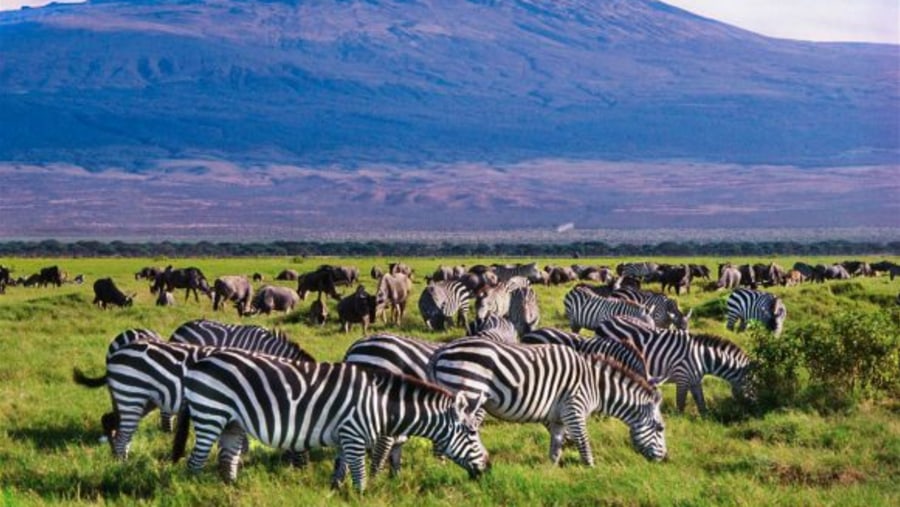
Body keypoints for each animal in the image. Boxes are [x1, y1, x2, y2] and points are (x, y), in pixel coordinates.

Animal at [171, 352, 488, 490]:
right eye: (472, 433)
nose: (488, 467)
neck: (380, 403)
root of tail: (200, 361)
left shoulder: (345, 435)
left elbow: (341, 467)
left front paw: (336, 490)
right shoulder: (354, 433)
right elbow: (359, 474)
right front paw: (361, 496)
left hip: (232, 422)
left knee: (227, 459)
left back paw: (232, 490)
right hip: (211, 413)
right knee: (195, 462)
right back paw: (192, 488)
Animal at [428, 340, 668, 466]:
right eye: (660, 428)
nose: (665, 459)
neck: (596, 387)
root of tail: (443, 350)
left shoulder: (559, 417)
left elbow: (557, 444)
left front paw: (551, 470)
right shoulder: (574, 408)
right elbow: (583, 441)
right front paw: (591, 470)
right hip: (468, 392)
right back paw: (442, 467)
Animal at [596, 318, 756, 412]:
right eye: (754, 382)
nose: (753, 407)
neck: (703, 357)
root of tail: (604, 322)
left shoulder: (695, 380)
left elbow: (701, 404)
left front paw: (705, 421)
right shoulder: (682, 377)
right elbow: (680, 404)